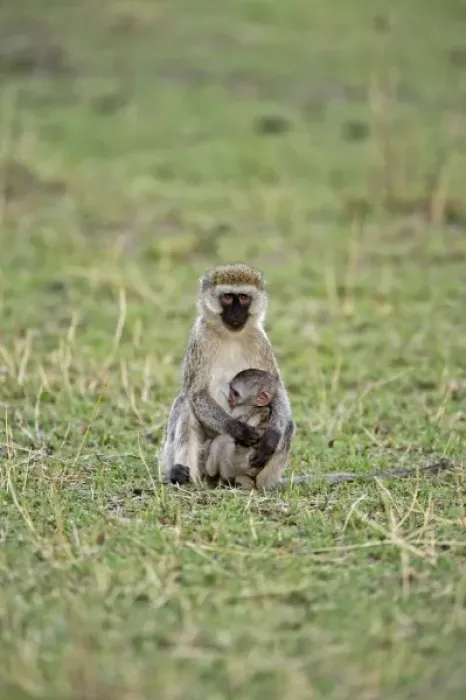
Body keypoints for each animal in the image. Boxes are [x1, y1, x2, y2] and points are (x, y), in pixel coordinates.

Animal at [159, 263, 295, 489]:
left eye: (244, 298)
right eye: (228, 298)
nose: (236, 313)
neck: (231, 335)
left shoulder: (261, 341)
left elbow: (276, 390)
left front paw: (272, 435)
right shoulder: (200, 339)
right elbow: (196, 394)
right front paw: (238, 429)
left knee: (289, 425)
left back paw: (259, 486)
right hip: (204, 461)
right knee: (186, 404)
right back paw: (182, 474)